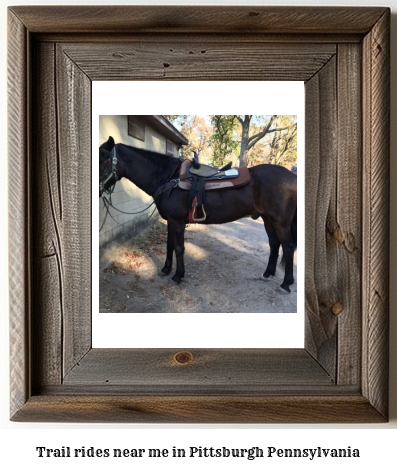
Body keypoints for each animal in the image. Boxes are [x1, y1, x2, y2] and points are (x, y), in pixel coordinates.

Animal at [100, 135, 296, 294]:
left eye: (104, 160)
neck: (168, 178)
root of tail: (292, 177)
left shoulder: (177, 221)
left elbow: (179, 248)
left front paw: (178, 276)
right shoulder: (171, 221)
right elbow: (170, 245)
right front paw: (165, 269)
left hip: (280, 222)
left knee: (287, 248)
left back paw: (285, 284)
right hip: (268, 219)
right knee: (274, 244)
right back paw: (267, 274)